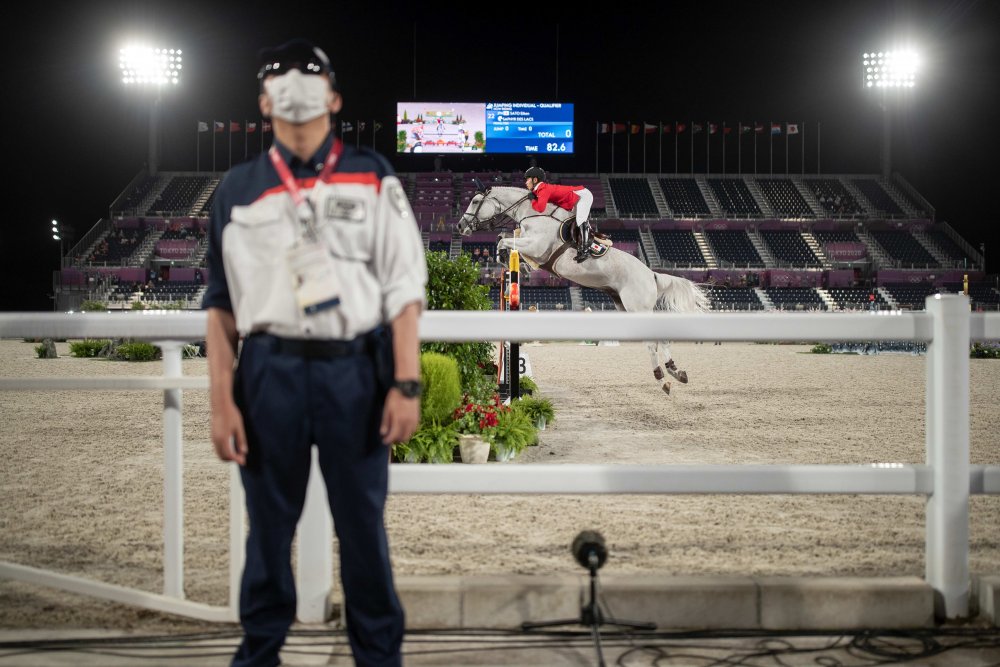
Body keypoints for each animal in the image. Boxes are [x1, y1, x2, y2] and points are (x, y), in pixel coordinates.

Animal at [458, 183, 708, 394]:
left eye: (475, 201)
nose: (460, 226)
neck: (531, 212)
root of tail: (651, 273)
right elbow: (506, 240)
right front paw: (511, 262)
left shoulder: (536, 246)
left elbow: (504, 240)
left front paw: (504, 257)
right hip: (626, 306)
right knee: (660, 339)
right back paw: (675, 372)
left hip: (638, 307)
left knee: (651, 342)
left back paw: (662, 378)